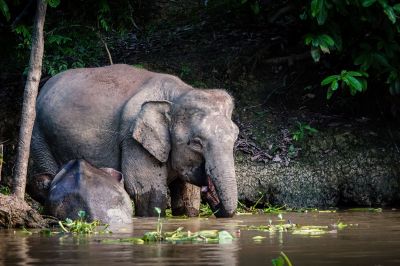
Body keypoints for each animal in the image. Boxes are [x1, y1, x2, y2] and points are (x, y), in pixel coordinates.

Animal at [31, 65, 239, 218]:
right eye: (196, 143)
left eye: (235, 137)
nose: (208, 188)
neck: (178, 94)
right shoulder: (132, 139)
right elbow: (146, 191)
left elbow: (187, 196)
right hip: (40, 136)